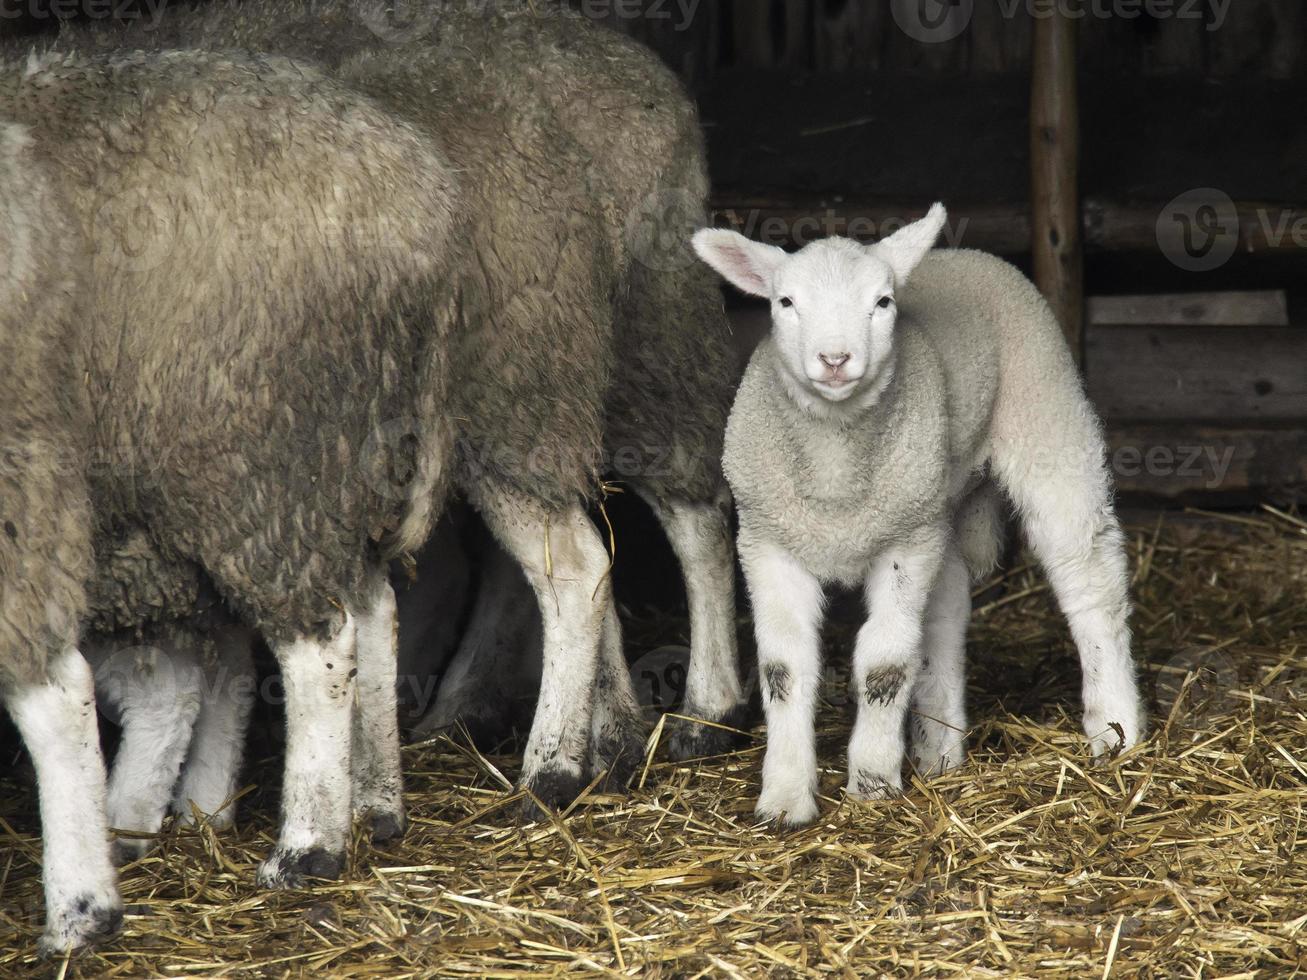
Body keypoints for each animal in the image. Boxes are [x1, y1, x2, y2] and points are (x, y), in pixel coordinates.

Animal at [695, 207, 1144, 831]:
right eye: (785, 302)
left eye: (883, 302)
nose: (835, 360)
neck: (836, 471)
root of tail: (964, 254)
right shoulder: (769, 541)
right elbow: (784, 669)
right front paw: (784, 800)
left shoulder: (903, 543)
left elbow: (883, 665)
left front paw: (872, 783)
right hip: (937, 503)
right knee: (946, 612)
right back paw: (940, 750)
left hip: (1047, 422)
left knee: (1091, 582)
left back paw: (1114, 730)